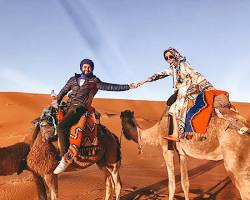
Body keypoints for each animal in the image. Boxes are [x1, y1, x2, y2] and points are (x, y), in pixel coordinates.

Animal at [120, 108, 249, 200]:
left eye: (122, 119)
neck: (156, 131)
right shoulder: (182, 154)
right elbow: (185, 183)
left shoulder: (166, 149)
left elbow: (171, 184)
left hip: (234, 160)